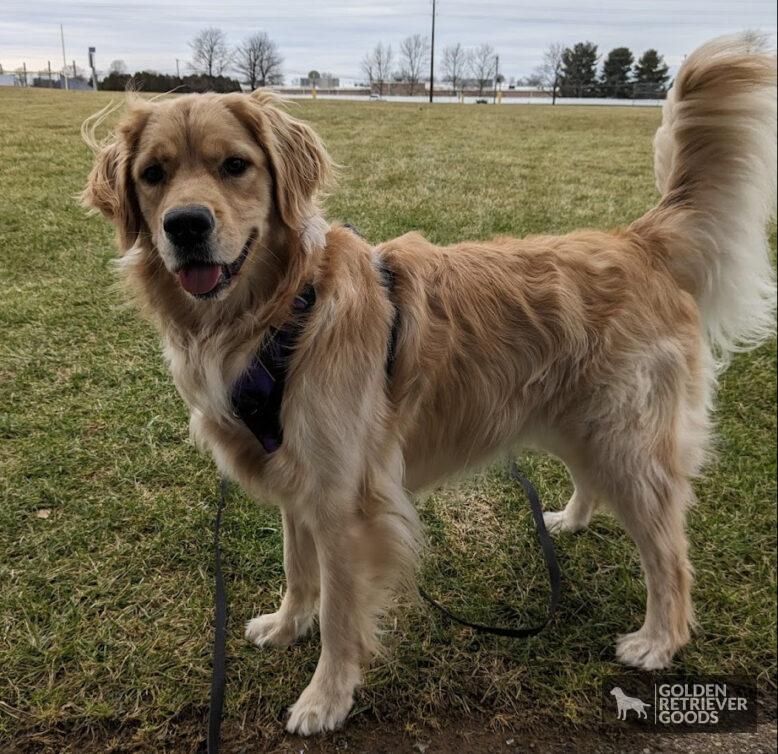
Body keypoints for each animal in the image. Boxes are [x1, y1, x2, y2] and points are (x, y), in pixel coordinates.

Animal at [82, 36, 772, 736]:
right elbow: (297, 570)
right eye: (153, 175)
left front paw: (325, 698)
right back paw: (570, 521)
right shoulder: (295, 479)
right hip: (583, 425)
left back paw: (660, 640)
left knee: (669, 555)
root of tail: (637, 241)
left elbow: (339, 613)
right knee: (597, 485)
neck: (283, 312)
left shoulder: (345, 501)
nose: (185, 225)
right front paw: (285, 625)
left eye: (234, 166)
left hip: (628, 441)